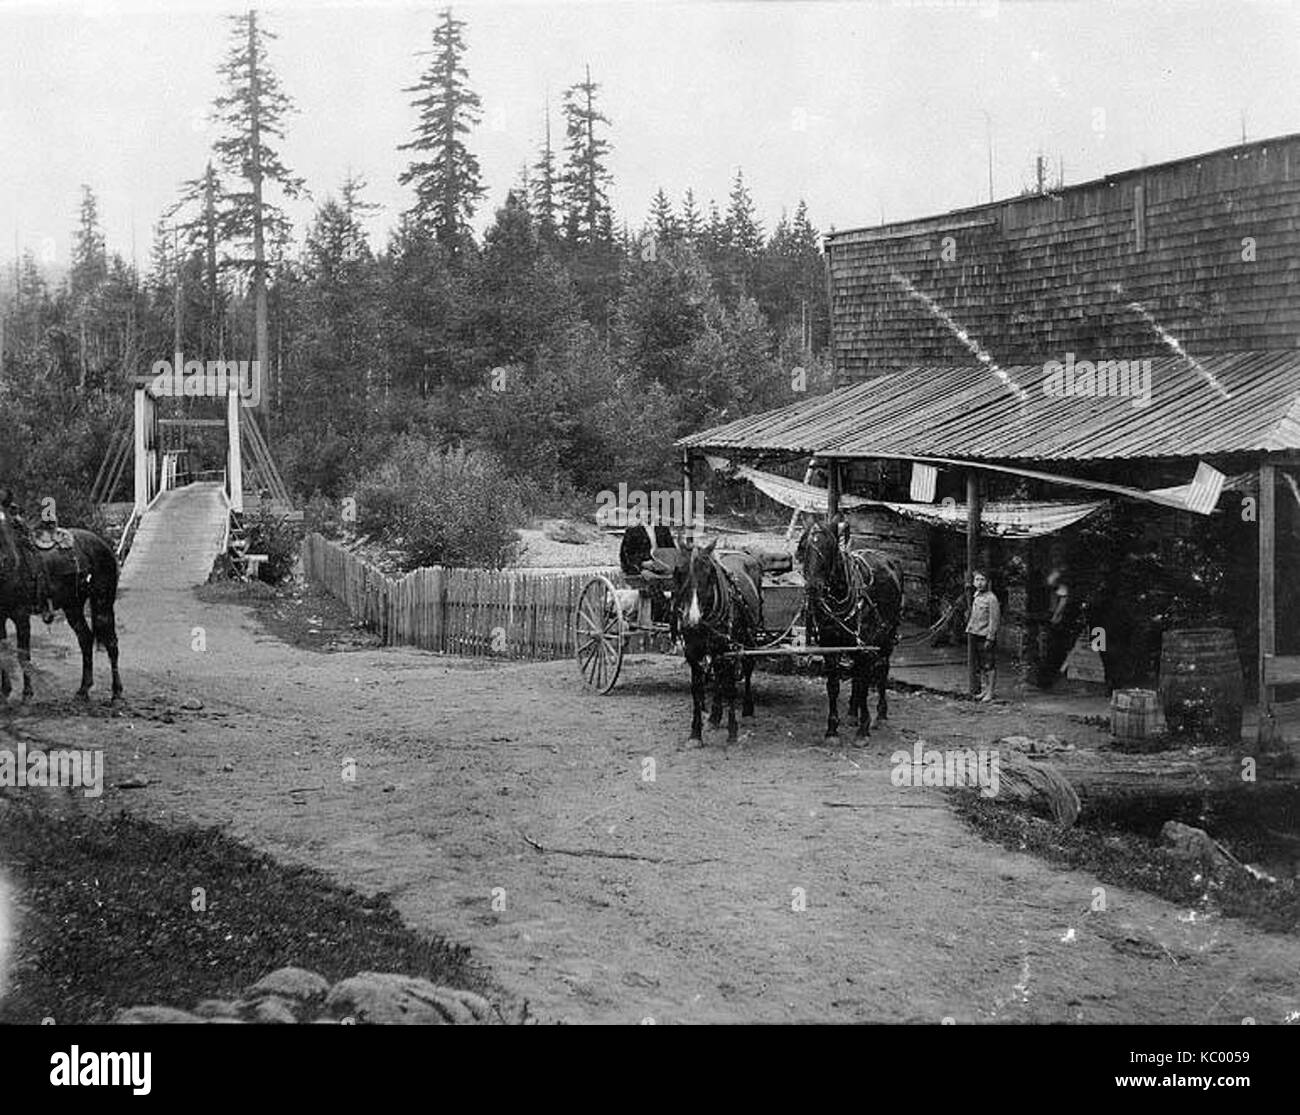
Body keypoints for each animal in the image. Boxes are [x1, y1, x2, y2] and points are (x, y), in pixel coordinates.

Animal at [0, 509, 122, 701]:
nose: (4, 560)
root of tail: (102, 544)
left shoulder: (21, 617)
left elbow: (23, 655)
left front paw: (27, 693)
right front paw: (5, 691)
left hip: (103, 603)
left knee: (111, 642)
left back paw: (116, 691)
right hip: (73, 606)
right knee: (85, 639)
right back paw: (83, 689)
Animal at [670, 535, 759, 743]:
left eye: (709, 573)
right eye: (679, 571)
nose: (692, 618)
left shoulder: (729, 650)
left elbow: (730, 687)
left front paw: (733, 731)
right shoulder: (693, 652)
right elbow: (697, 689)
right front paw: (695, 734)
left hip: (747, 640)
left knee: (747, 668)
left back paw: (747, 710)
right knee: (718, 676)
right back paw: (715, 716)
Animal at [795, 517, 899, 743]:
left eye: (830, 547)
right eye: (803, 547)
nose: (813, 588)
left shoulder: (865, 645)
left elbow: (864, 684)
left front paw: (863, 729)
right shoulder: (830, 643)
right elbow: (834, 685)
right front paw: (832, 728)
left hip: (887, 637)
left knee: (881, 669)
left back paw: (880, 714)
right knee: (856, 674)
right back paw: (852, 712)